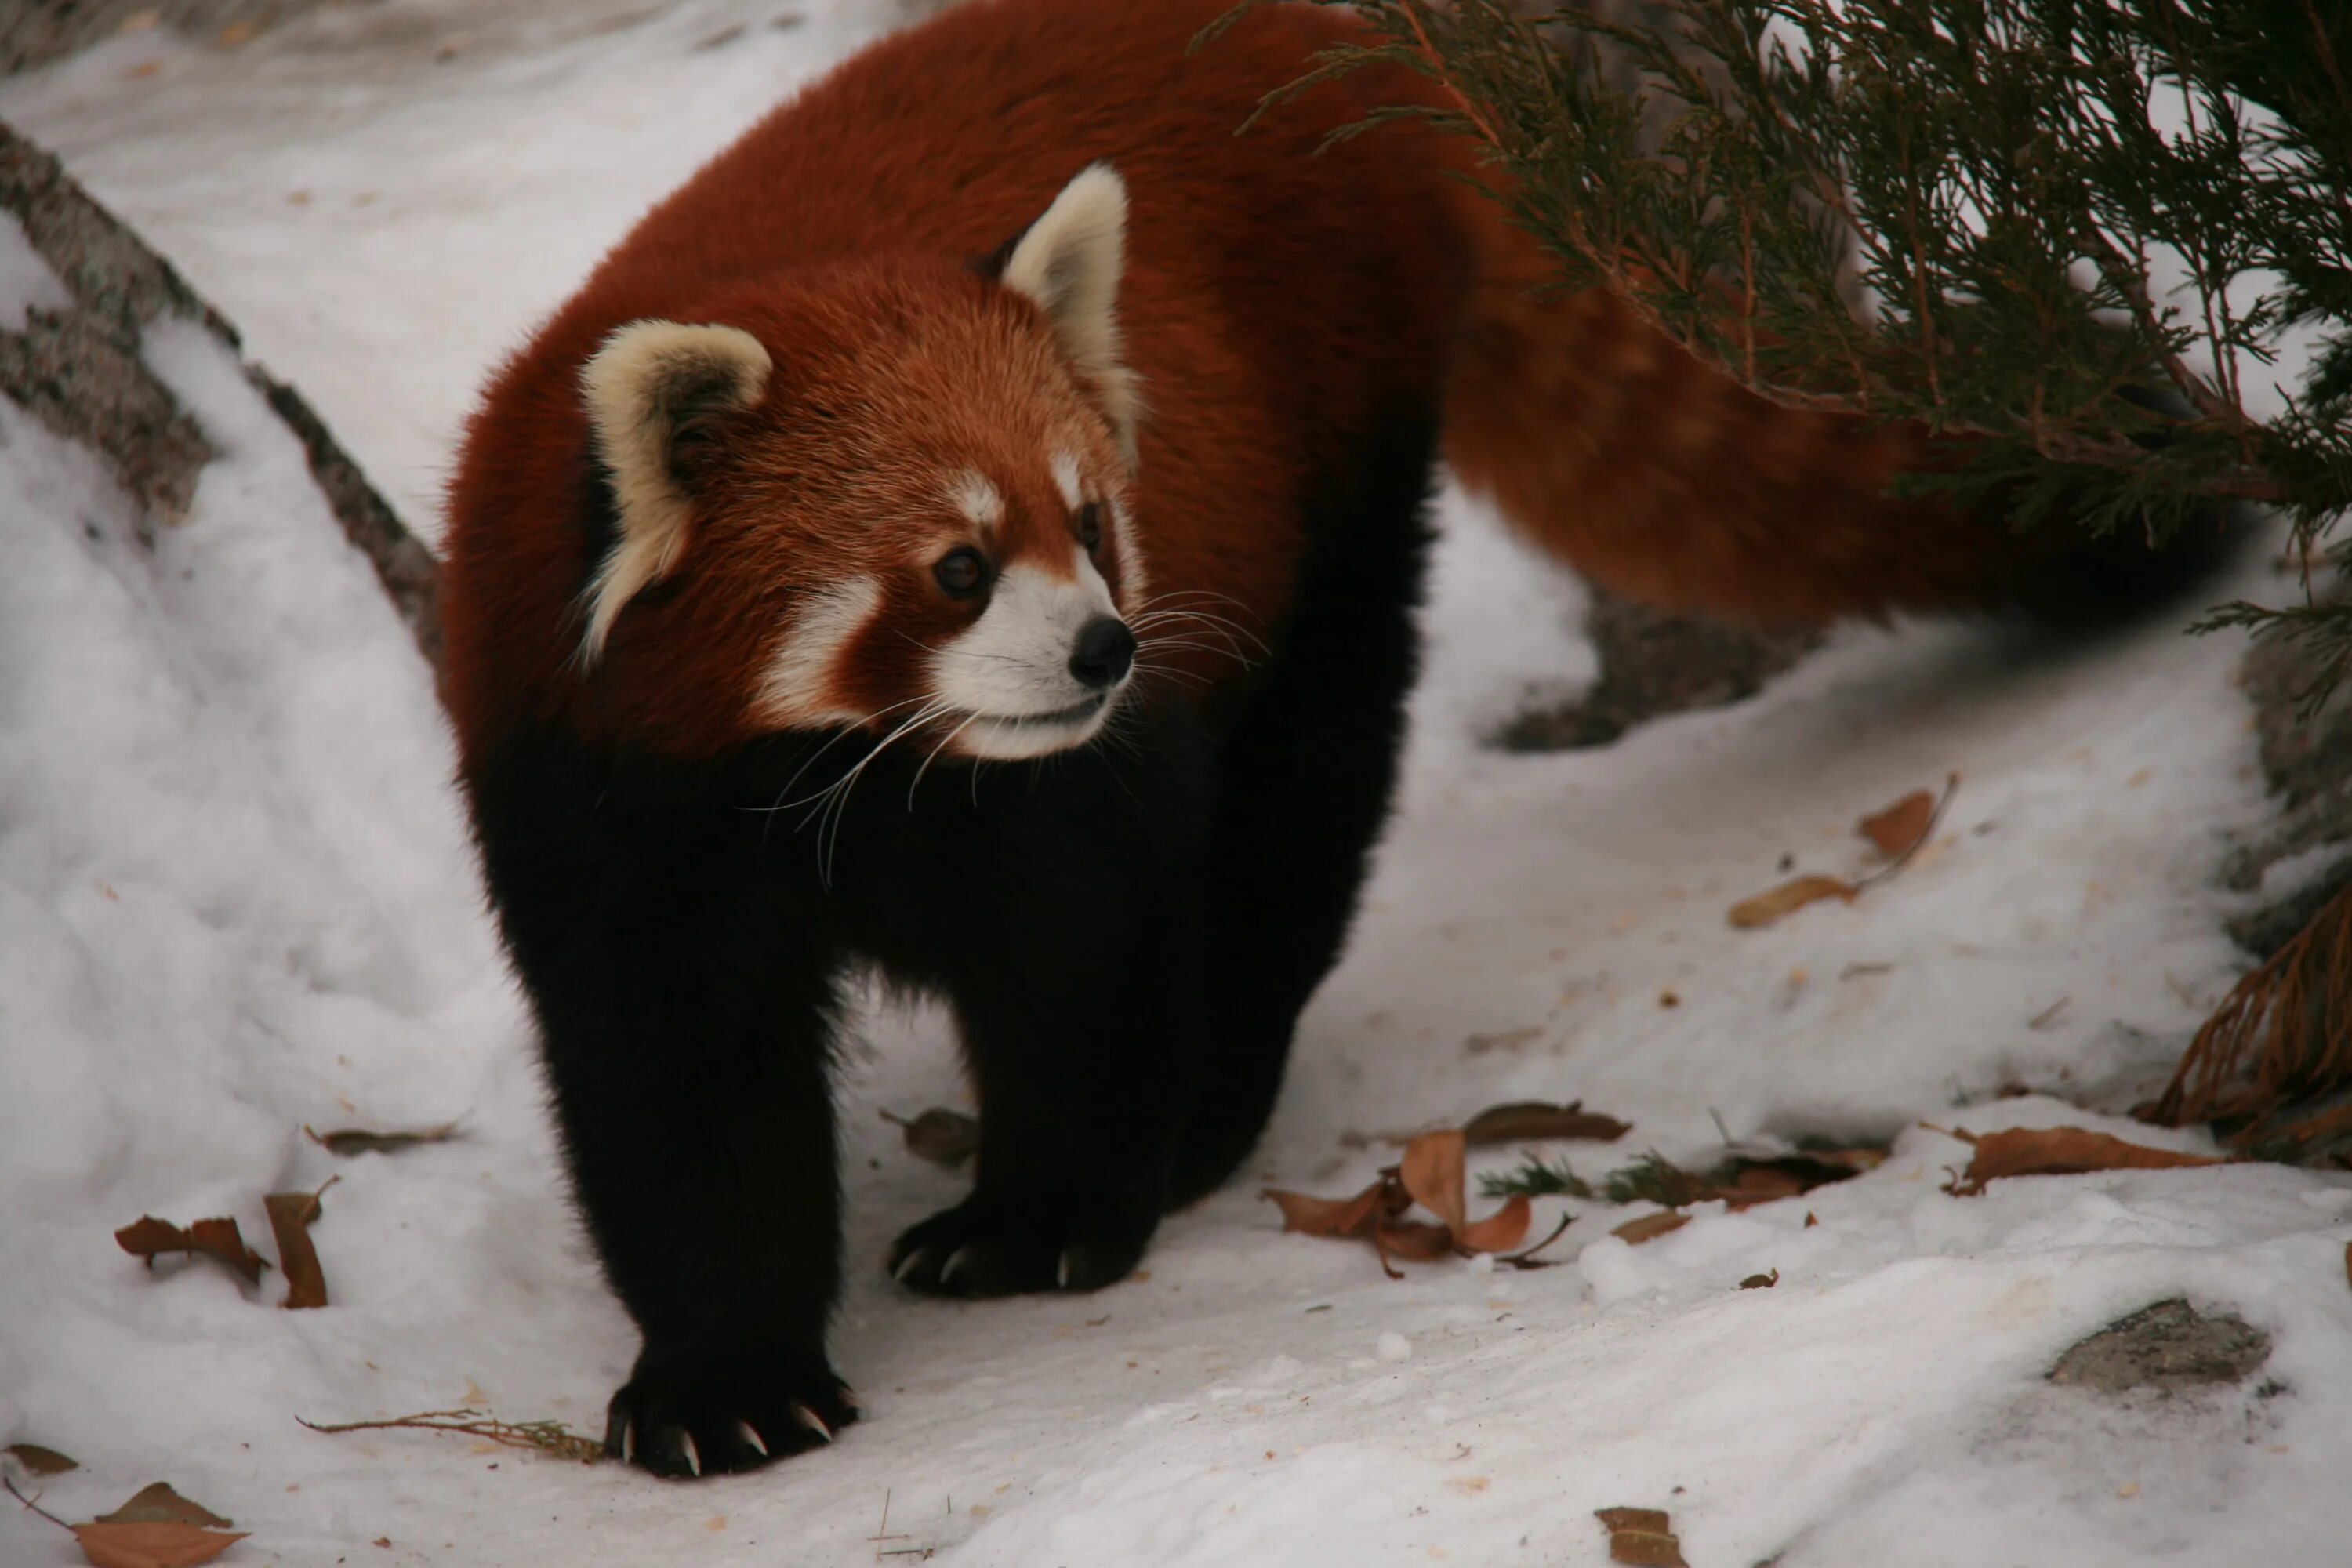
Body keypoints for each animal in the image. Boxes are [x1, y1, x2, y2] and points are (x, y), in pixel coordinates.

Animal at [442, 0, 2220, 1486]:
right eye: (956, 567)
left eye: (1092, 522)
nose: (1105, 645)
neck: (852, 765)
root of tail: (1309, 32)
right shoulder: (605, 790)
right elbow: (672, 1077)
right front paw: (726, 1380)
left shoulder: (1068, 782)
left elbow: (1087, 953)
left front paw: (1042, 1218)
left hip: (1338, 463)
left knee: (1303, 799)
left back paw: (1217, 1103)